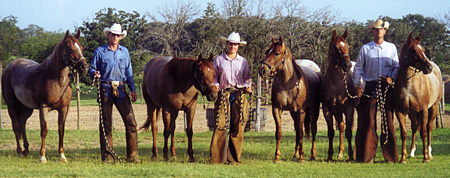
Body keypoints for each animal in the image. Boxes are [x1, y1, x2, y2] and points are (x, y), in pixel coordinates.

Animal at [1, 29, 88, 163]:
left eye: (81, 48)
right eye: (69, 49)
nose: (84, 67)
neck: (56, 80)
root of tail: (10, 66)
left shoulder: (64, 109)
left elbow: (61, 130)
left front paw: (62, 156)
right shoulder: (43, 108)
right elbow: (44, 130)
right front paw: (42, 157)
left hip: (26, 108)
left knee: (22, 124)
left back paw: (26, 150)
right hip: (11, 106)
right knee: (15, 126)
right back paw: (20, 152)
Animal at [320, 29, 358, 161]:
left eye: (347, 46)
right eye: (336, 47)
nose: (347, 65)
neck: (336, 85)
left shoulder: (349, 109)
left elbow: (349, 132)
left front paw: (351, 156)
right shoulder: (328, 110)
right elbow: (331, 132)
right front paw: (330, 155)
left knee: (351, 128)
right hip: (338, 112)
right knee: (341, 127)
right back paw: (340, 152)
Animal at [394, 32, 442, 163]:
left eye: (424, 49)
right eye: (414, 50)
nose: (428, 68)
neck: (409, 86)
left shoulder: (423, 110)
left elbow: (424, 132)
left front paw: (425, 157)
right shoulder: (400, 111)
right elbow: (404, 133)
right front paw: (403, 158)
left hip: (433, 108)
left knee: (429, 127)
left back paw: (429, 153)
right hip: (413, 113)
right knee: (415, 127)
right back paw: (411, 152)